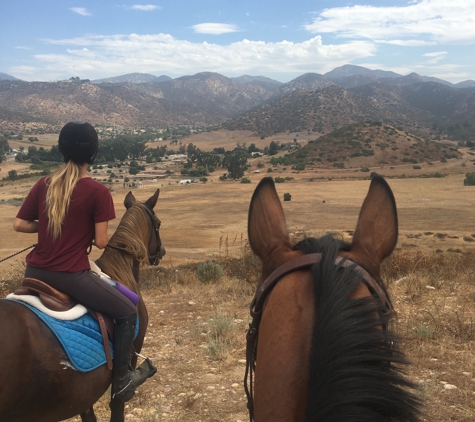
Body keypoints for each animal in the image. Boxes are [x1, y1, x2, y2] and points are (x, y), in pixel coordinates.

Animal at [0, 190, 166, 420]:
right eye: (158, 223)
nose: (162, 252)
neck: (119, 273)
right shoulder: (131, 355)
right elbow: (118, 404)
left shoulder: (82, 393)